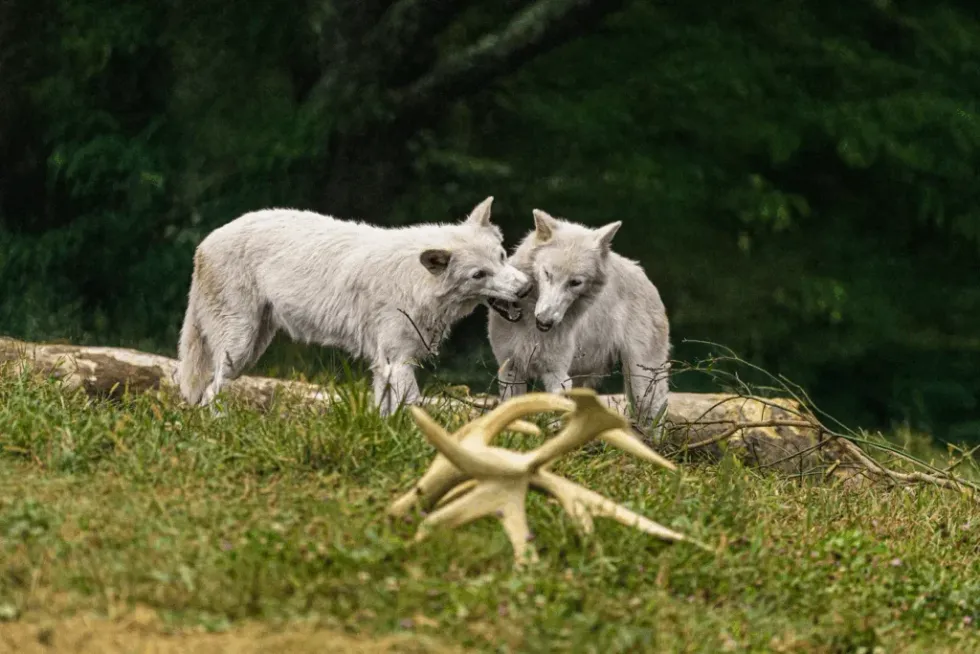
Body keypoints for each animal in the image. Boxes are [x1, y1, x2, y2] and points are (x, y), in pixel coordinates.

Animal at [178, 197, 532, 416]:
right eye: (479, 274)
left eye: (502, 256)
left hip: (250, 349)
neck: (416, 282)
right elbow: (414, 409)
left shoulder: (385, 366)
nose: (526, 288)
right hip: (238, 349)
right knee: (210, 393)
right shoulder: (396, 363)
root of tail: (204, 243)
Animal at [487, 209, 671, 437]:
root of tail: (643, 274)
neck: (530, 324)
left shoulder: (556, 374)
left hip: (642, 380)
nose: (545, 320)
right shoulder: (510, 368)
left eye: (575, 282)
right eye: (547, 274)